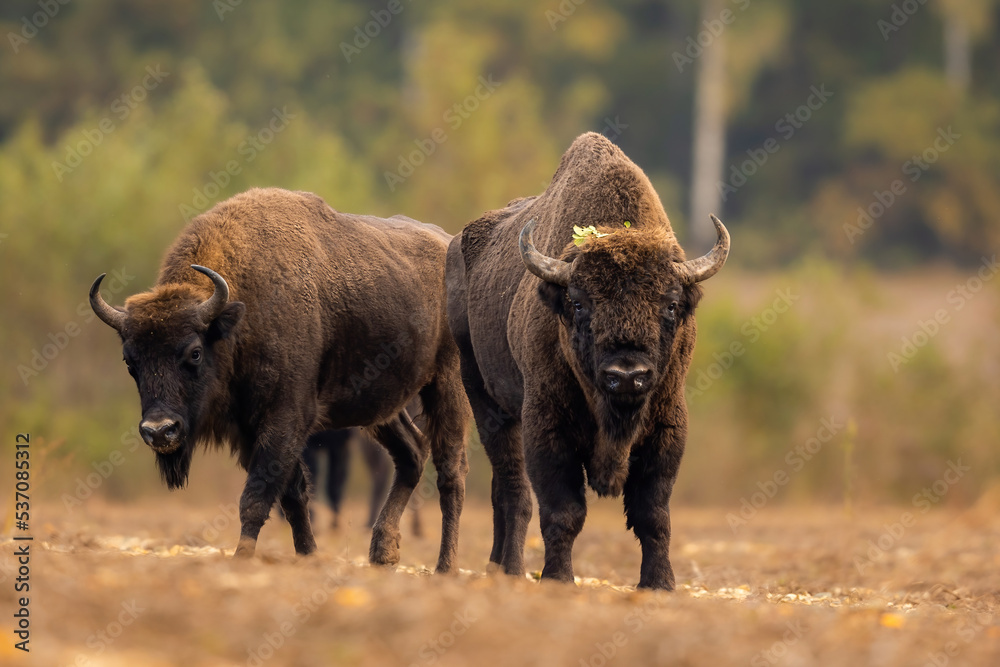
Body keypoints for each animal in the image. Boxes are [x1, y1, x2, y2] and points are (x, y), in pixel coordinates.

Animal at [88, 185, 470, 572]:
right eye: (130, 361)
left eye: (194, 352)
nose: (159, 431)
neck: (240, 314)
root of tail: (448, 243)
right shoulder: (248, 430)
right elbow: (293, 495)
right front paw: (308, 555)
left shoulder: (284, 421)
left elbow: (257, 496)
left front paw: (243, 556)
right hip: (381, 407)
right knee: (412, 453)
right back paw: (383, 552)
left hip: (448, 386)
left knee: (450, 472)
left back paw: (445, 566)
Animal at [450, 132, 732, 588]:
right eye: (579, 303)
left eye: (671, 305)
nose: (627, 375)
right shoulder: (547, 425)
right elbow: (562, 510)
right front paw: (558, 578)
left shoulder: (668, 426)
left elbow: (653, 513)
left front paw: (659, 583)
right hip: (485, 400)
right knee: (512, 487)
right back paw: (509, 569)